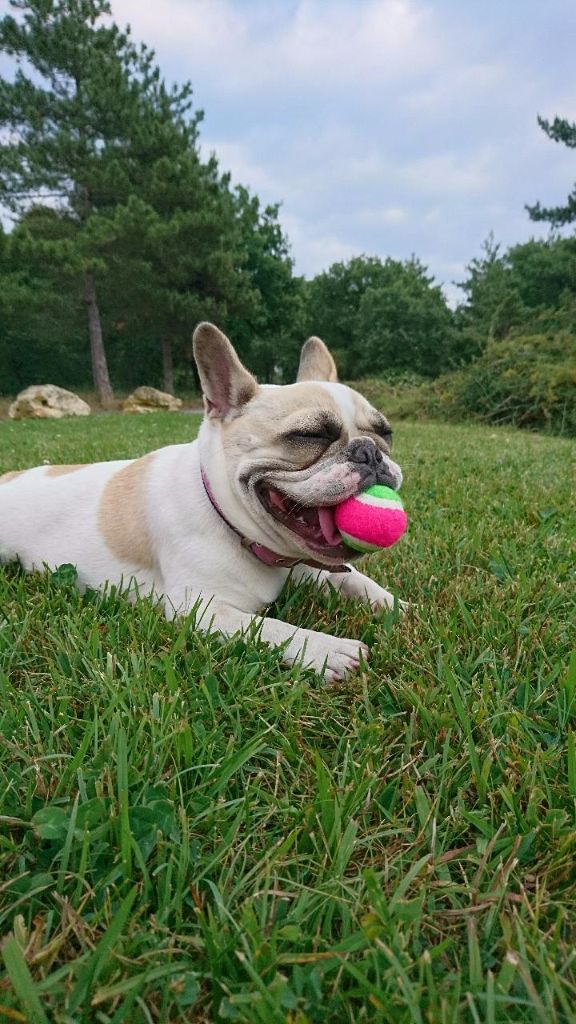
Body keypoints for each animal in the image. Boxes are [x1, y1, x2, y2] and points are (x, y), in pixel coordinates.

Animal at [0, 323, 401, 684]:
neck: (227, 518)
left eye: (386, 433)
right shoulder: (202, 609)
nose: (369, 452)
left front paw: (395, 605)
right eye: (310, 435)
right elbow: (268, 627)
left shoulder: (310, 568)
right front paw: (328, 649)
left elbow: (355, 580)